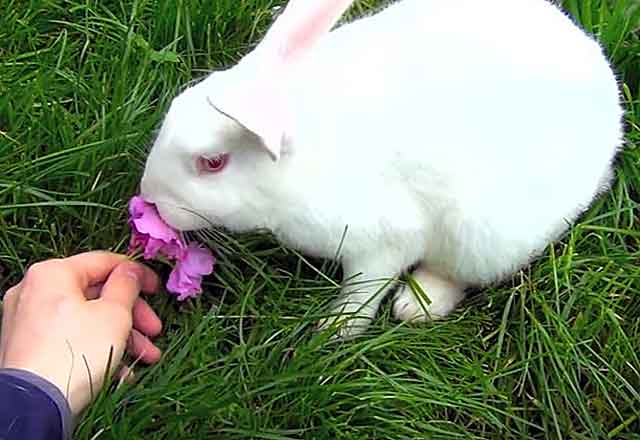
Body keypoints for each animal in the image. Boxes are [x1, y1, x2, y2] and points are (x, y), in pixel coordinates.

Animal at [141, 0, 624, 336]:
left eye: (212, 163)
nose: (149, 200)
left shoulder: (382, 241)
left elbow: (363, 289)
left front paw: (333, 333)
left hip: (484, 237)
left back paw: (417, 305)